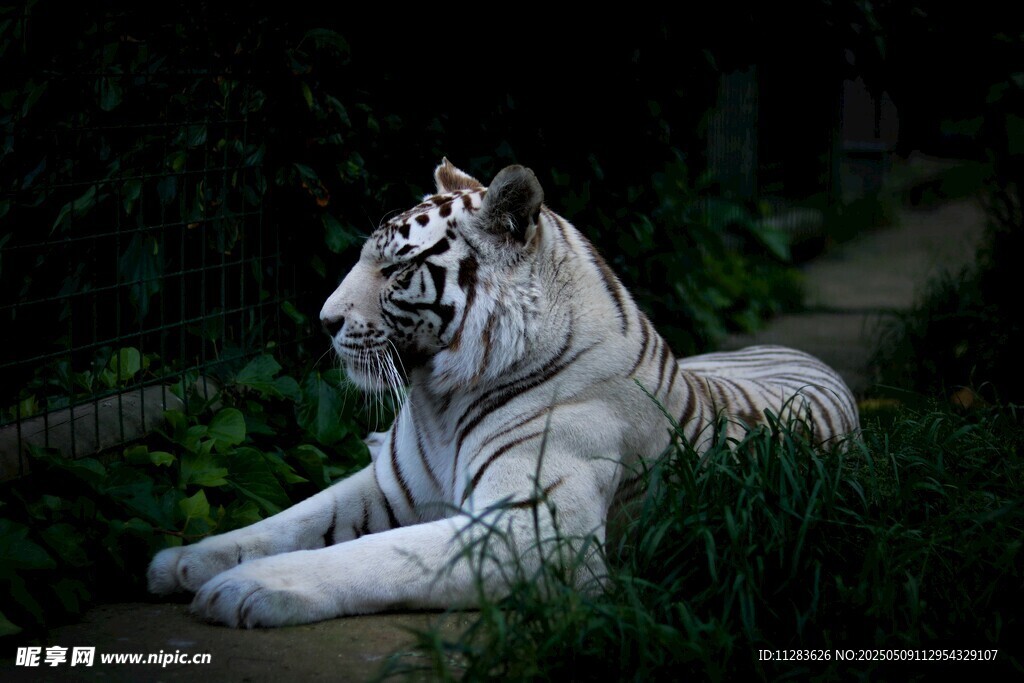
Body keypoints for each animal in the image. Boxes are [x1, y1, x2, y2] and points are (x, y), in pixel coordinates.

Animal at [147, 159, 859, 627]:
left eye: (397, 268)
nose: (323, 321)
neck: (439, 398)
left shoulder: (532, 530)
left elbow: (371, 554)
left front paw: (246, 588)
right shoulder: (390, 486)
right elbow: (290, 519)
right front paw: (183, 561)